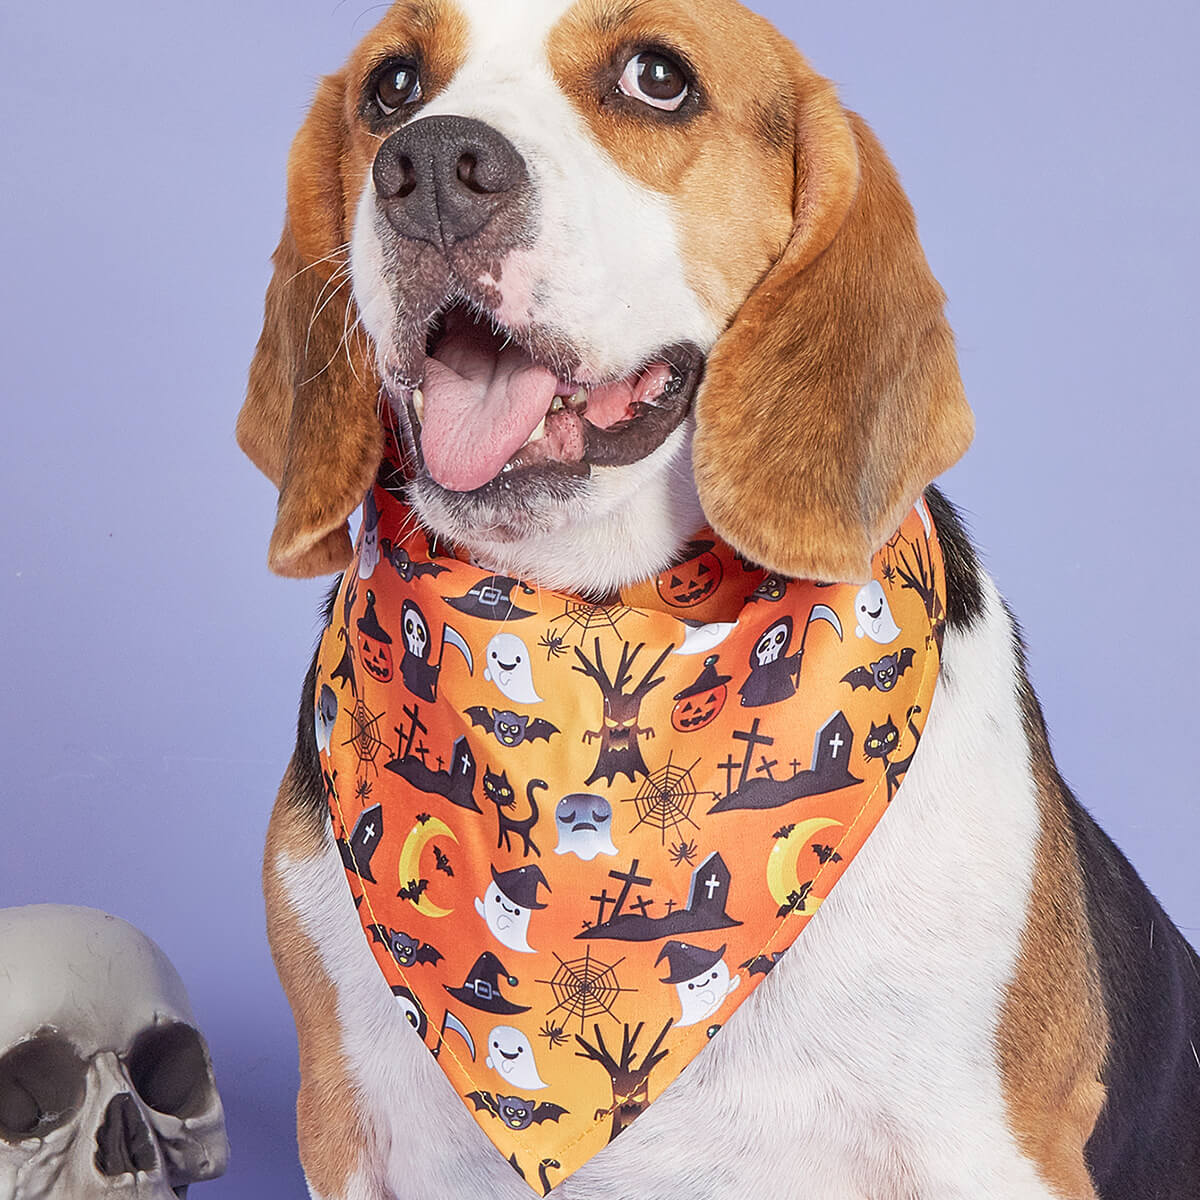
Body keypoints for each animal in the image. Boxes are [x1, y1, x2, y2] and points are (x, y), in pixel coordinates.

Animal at [236, 2, 1200, 1200]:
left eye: (658, 77)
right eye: (393, 86)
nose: (432, 169)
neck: (596, 599)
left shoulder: (989, 1144)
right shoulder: (346, 1122)